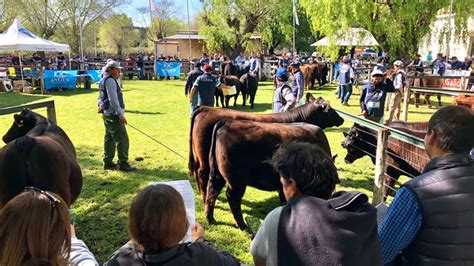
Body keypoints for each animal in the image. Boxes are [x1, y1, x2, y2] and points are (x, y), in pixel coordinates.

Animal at [190, 101, 344, 203]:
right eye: (330, 110)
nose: (342, 119)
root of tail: (205, 108)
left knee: (198, 172)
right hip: (205, 159)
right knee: (203, 174)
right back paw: (203, 197)